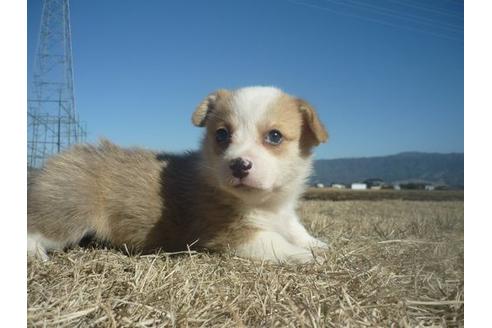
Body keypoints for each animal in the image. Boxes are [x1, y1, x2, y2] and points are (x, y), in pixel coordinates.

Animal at [26, 86, 326, 264]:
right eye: (222, 134)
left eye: (274, 136)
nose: (239, 165)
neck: (265, 204)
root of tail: (59, 157)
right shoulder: (230, 235)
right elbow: (275, 243)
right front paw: (305, 255)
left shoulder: (285, 216)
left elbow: (297, 231)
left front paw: (318, 245)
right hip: (68, 213)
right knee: (35, 229)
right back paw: (36, 253)